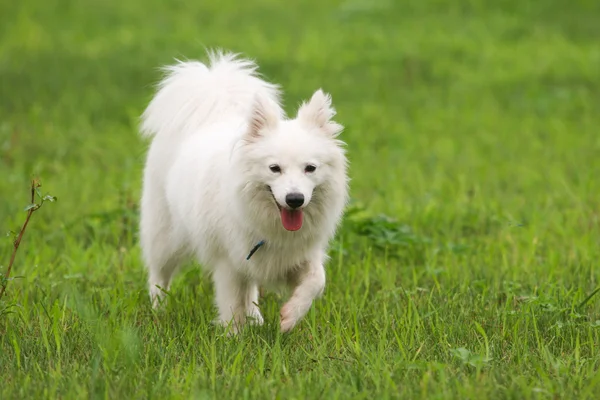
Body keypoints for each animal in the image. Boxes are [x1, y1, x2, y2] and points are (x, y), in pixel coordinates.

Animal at [139, 50, 350, 332]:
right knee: (159, 275)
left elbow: (317, 281)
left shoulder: (297, 255)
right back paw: (158, 310)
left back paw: (257, 319)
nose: (295, 199)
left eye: (310, 168)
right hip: (166, 236)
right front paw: (234, 336)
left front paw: (289, 317)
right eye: (274, 168)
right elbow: (232, 304)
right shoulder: (229, 262)